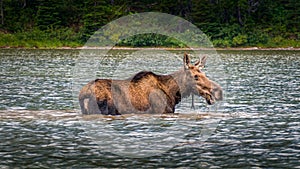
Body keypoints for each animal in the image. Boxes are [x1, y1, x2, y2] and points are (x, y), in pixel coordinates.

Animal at [78, 53, 221, 115]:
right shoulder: (162, 111)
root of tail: (83, 95)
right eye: (195, 76)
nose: (215, 91)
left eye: (204, 74)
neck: (173, 93)